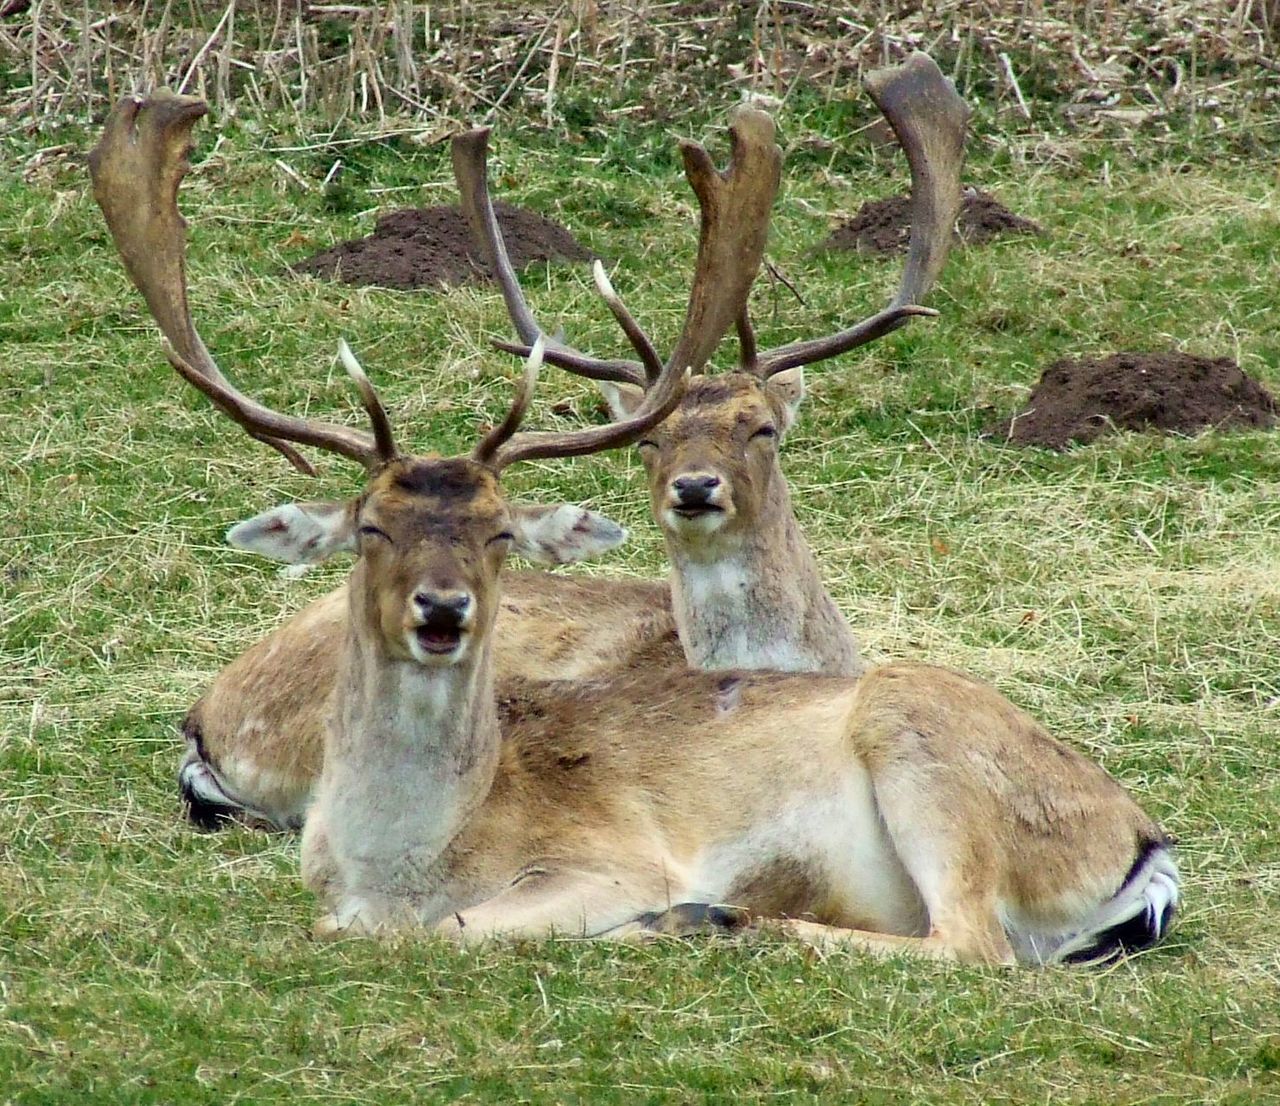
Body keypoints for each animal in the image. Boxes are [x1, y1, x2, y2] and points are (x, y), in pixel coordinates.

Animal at [94, 88, 1172, 967]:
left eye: (500, 531)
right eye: (369, 526)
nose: (441, 609)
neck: (396, 861)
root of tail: (1144, 841)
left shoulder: (609, 859)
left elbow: (453, 929)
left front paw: (667, 911)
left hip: (929, 752)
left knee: (973, 942)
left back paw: (717, 919)